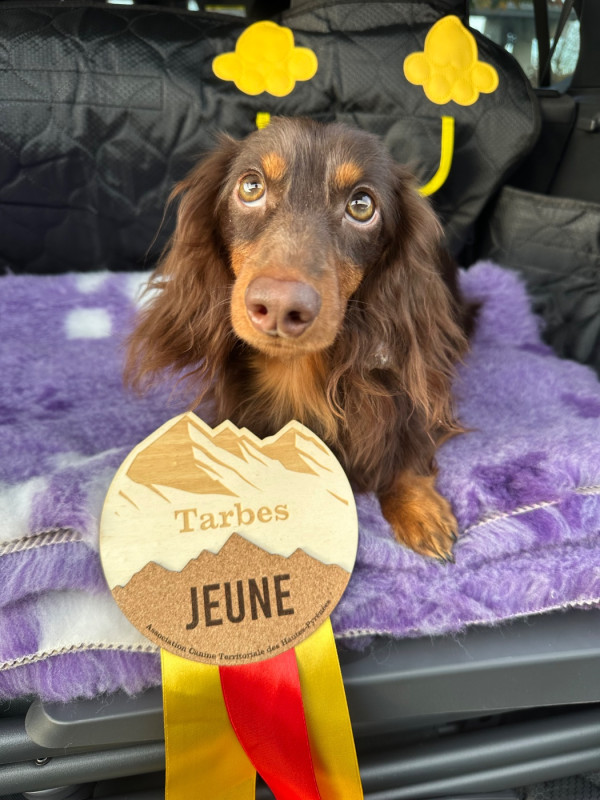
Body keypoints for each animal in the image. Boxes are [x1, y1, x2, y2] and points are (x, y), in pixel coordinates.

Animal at [126, 117, 472, 561]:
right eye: (250, 186)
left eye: (362, 205)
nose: (278, 306)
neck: (298, 370)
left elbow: (408, 445)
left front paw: (419, 508)